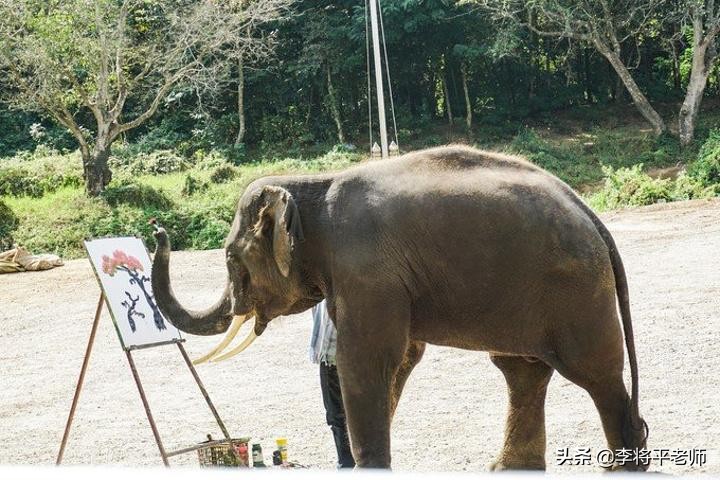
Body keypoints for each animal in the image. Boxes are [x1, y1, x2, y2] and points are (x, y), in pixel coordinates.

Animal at [151, 145, 649, 471]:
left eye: (231, 258)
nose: (157, 230)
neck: (315, 186)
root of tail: (592, 215)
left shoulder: (367, 272)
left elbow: (366, 360)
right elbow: (401, 358)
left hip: (577, 290)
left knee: (595, 374)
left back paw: (624, 464)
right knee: (522, 370)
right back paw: (512, 469)